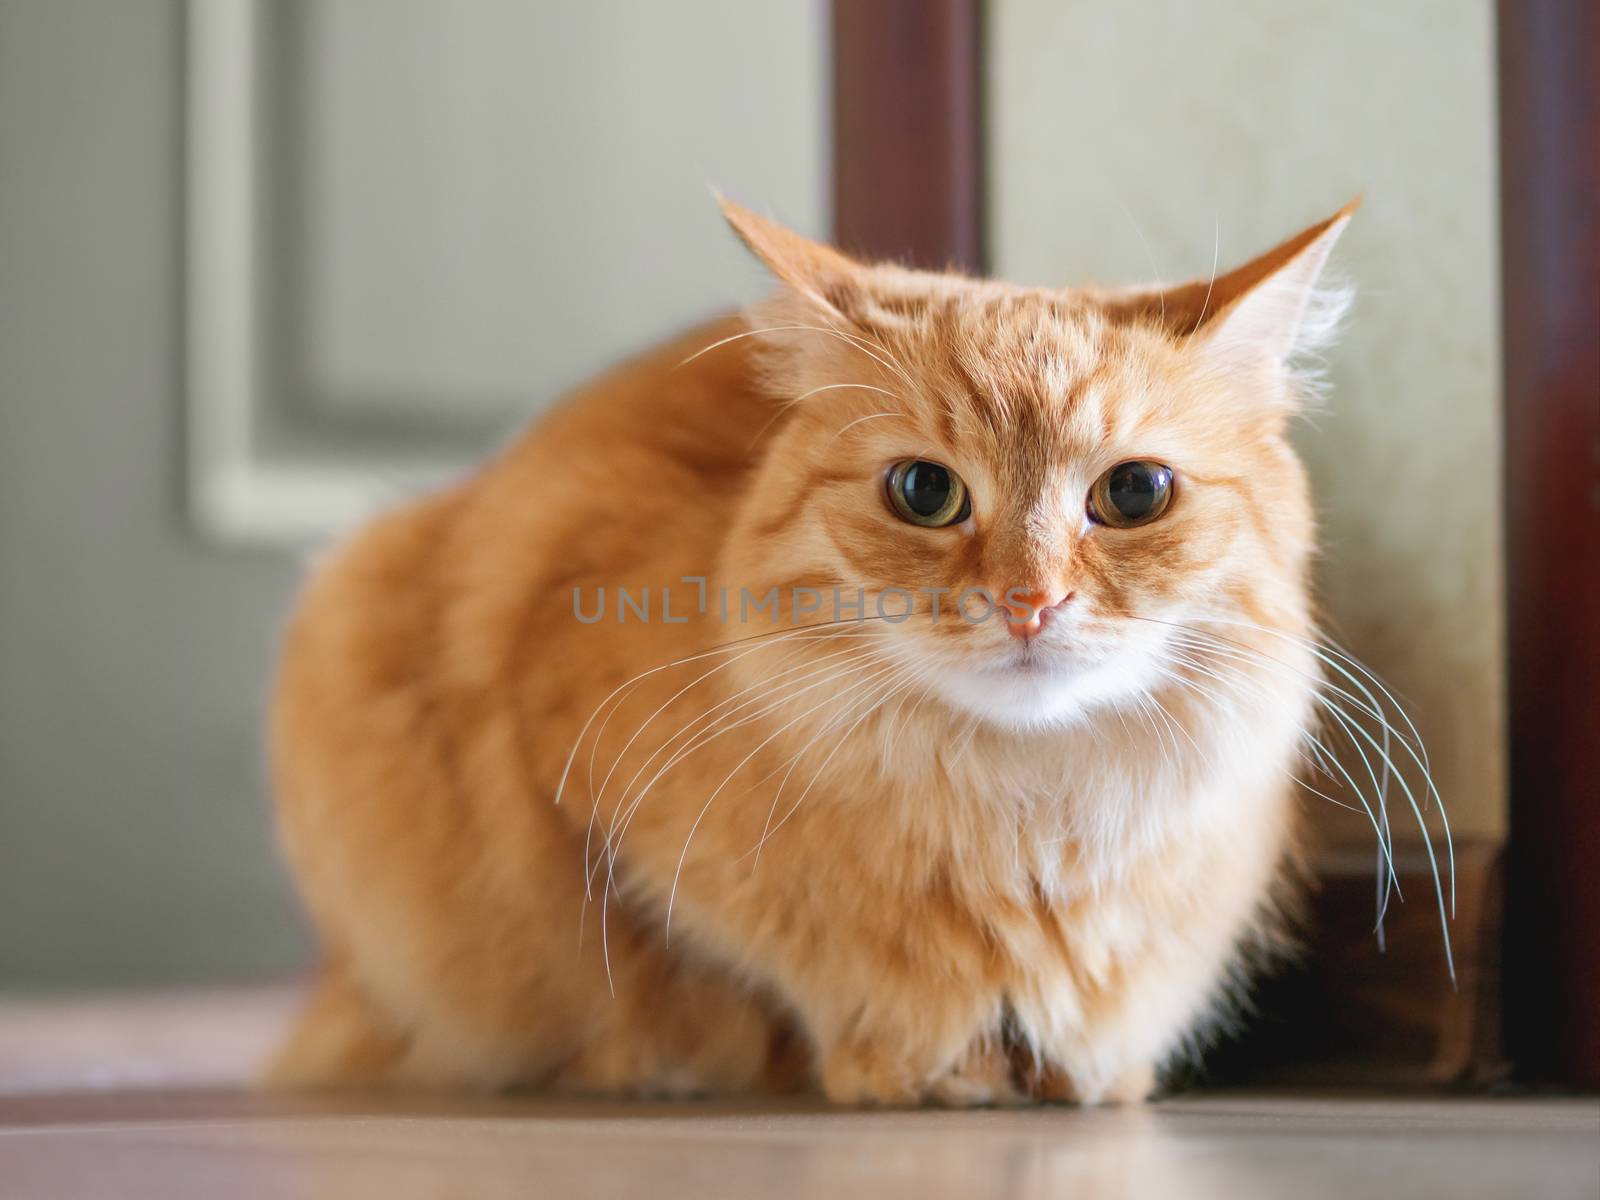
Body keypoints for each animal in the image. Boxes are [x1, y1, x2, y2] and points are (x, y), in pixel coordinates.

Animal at [265, 197, 1376, 1107]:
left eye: (1134, 493)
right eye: (925, 493)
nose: (1029, 602)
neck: (1022, 823)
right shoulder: (565, 782)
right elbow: (697, 980)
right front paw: (901, 1064)